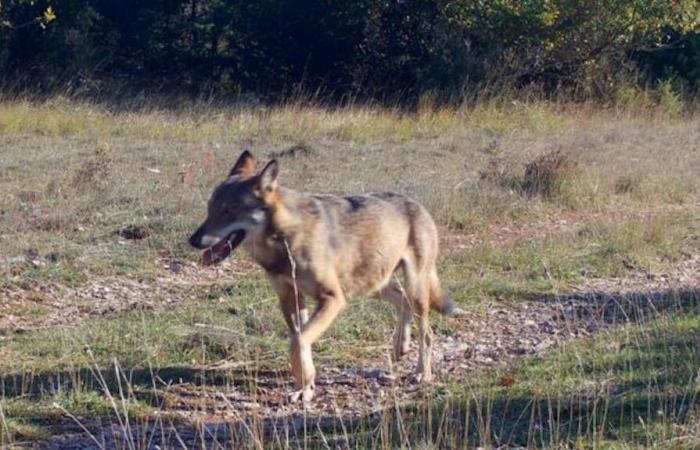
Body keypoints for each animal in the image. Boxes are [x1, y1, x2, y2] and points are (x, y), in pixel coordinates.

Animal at [189, 151, 456, 400]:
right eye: (209, 209)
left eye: (228, 211)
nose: (192, 240)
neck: (285, 240)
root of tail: (417, 204)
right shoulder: (291, 298)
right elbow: (300, 342)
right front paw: (305, 385)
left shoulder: (332, 298)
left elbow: (298, 342)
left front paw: (305, 386)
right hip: (372, 287)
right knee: (403, 301)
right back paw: (401, 345)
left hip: (409, 287)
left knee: (427, 332)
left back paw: (422, 373)